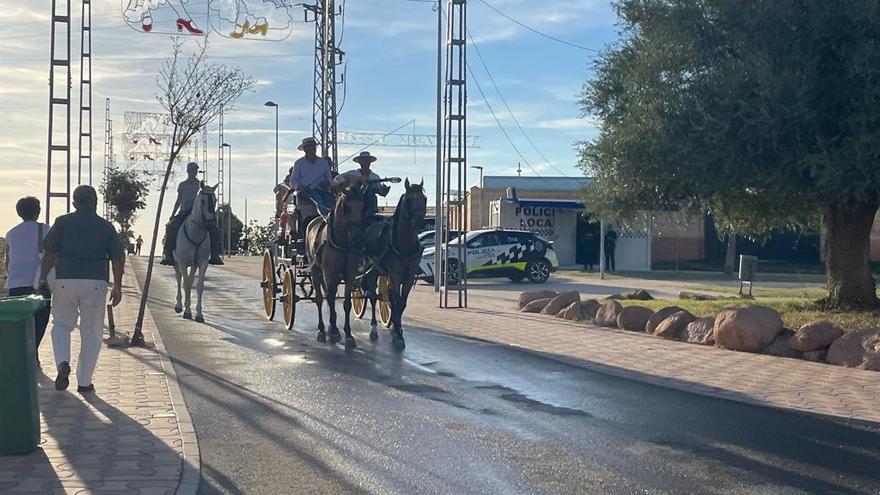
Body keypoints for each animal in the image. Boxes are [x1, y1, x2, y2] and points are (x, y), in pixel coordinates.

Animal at [173, 184, 217, 324]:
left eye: (215, 200)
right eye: (203, 201)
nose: (210, 224)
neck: (195, 232)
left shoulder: (202, 262)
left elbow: (199, 285)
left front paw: (199, 314)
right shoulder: (182, 262)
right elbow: (186, 284)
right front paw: (187, 311)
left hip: (193, 265)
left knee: (190, 278)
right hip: (176, 263)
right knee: (179, 279)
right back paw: (179, 305)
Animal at [360, 178, 424, 348]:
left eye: (424, 199)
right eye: (408, 200)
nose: (420, 223)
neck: (405, 245)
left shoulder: (408, 277)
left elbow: (401, 303)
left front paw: (397, 330)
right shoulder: (395, 275)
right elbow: (396, 301)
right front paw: (398, 336)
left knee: (387, 296)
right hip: (372, 271)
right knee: (373, 297)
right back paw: (373, 329)